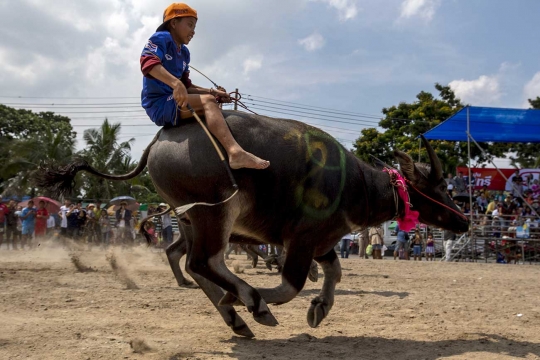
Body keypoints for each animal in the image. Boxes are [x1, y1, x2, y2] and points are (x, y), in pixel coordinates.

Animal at [38, 109, 468, 338]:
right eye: (437, 186)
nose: (464, 220)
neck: (354, 183)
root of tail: (158, 141)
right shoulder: (302, 240)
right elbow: (291, 284)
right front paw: (259, 300)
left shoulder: (320, 241)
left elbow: (334, 271)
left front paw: (320, 308)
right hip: (215, 213)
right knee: (202, 263)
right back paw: (245, 302)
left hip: (190, 218)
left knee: (196, 265)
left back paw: (234, 317)